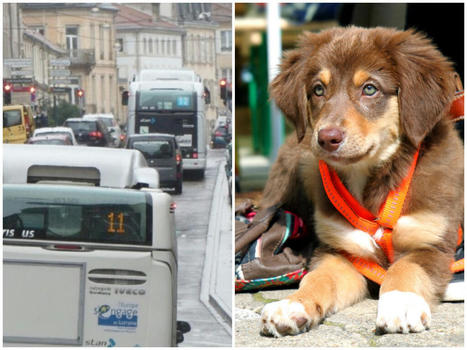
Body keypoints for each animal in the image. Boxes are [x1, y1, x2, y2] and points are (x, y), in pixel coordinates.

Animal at [260, 26, 464, 336]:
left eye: (370, 88)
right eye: (318, 89)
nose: (327, 138)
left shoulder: (431, 244)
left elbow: (405, 269)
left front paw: (400, 303)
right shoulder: (341, 251)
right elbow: (318, 278)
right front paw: (293, 305)